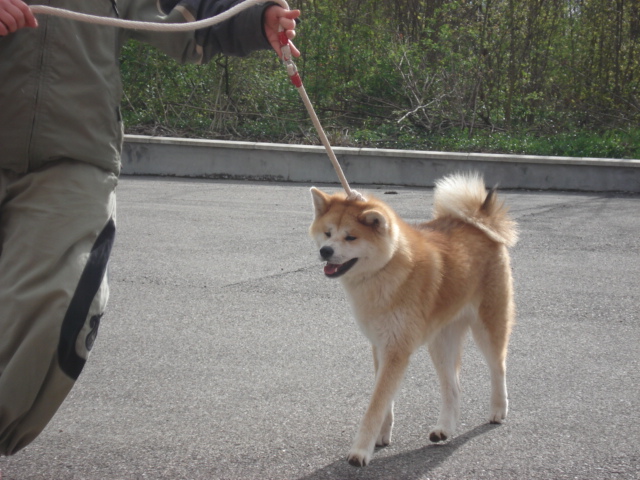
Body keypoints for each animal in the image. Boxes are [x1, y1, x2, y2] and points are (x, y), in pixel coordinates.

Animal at [308, 172, 516, 464]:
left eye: (350, 237)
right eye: (327, 233)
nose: (325, 251)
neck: (386, 271)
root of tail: (479, 223)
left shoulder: (397, 348)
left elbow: (376, 403)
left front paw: (360, 450)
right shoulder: (382, 345)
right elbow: (385, 398)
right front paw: (382, 435)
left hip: (488, 326)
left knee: (498, 367)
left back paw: (498, 409)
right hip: (440, 342)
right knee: (453, 388)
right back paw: (444, 429)